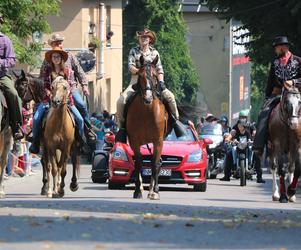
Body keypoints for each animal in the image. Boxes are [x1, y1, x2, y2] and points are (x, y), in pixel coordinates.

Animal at [126, 55, 169, 200]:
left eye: (155, 75)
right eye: (140, 75)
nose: (148, 98)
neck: (146, 111)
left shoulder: (158, 141)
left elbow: (155, 164)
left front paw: (155, 191)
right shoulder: (134, 141)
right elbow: (138, 164)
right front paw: (137, 191)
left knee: (155, 163)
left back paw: (152, 190)